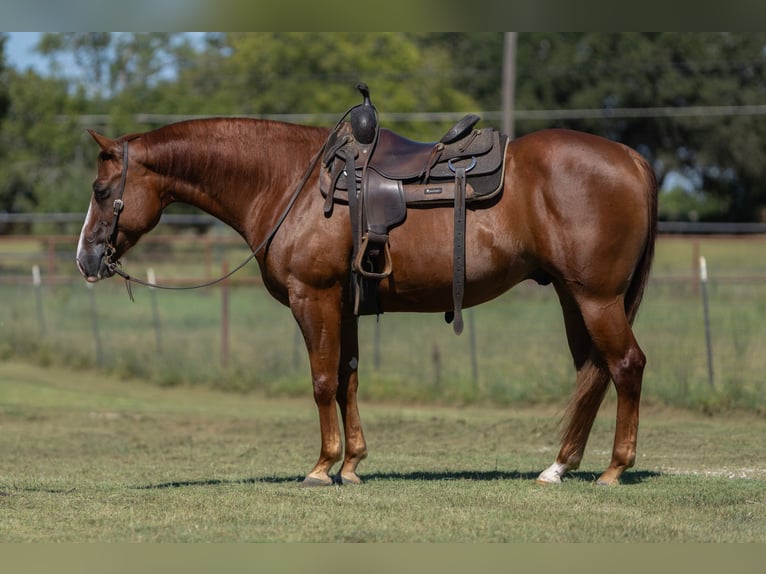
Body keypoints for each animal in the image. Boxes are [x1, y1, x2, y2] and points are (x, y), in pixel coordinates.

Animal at [76, 116, 657, 486]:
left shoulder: (313, 297)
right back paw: (559, 467)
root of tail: (631, 158)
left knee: (626, 365)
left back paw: (613, 470)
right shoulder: (344, 303)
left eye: (102, 192)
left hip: (596, 298)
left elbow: (321, 381)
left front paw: (321, 467)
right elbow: (347, 379)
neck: (290, 182)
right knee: (592, 372)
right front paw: (352, 464)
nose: (86, 259)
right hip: (572, 296)